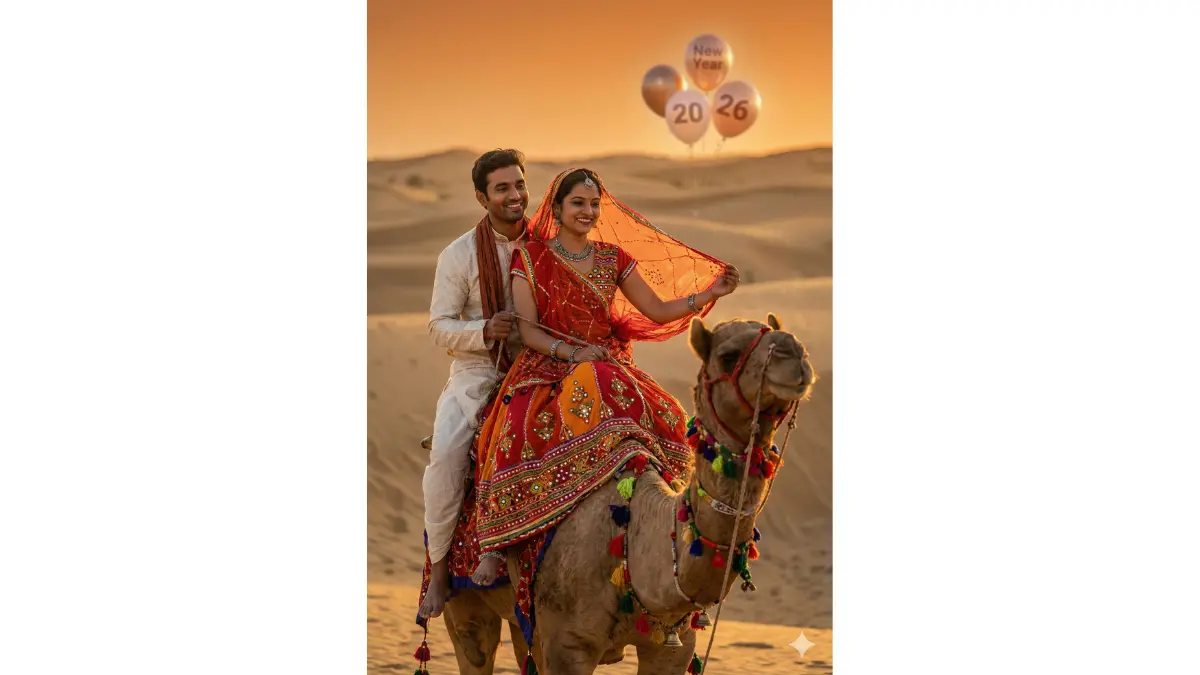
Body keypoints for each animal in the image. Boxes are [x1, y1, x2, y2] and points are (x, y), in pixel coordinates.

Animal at [430, 313, 815, 675]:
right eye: (728, 355)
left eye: (791, 340)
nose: (794, 352)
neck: (630, 536)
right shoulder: (567, 645)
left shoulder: (672, 646)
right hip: (467, 606)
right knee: (474, 647)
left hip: (521, 617)